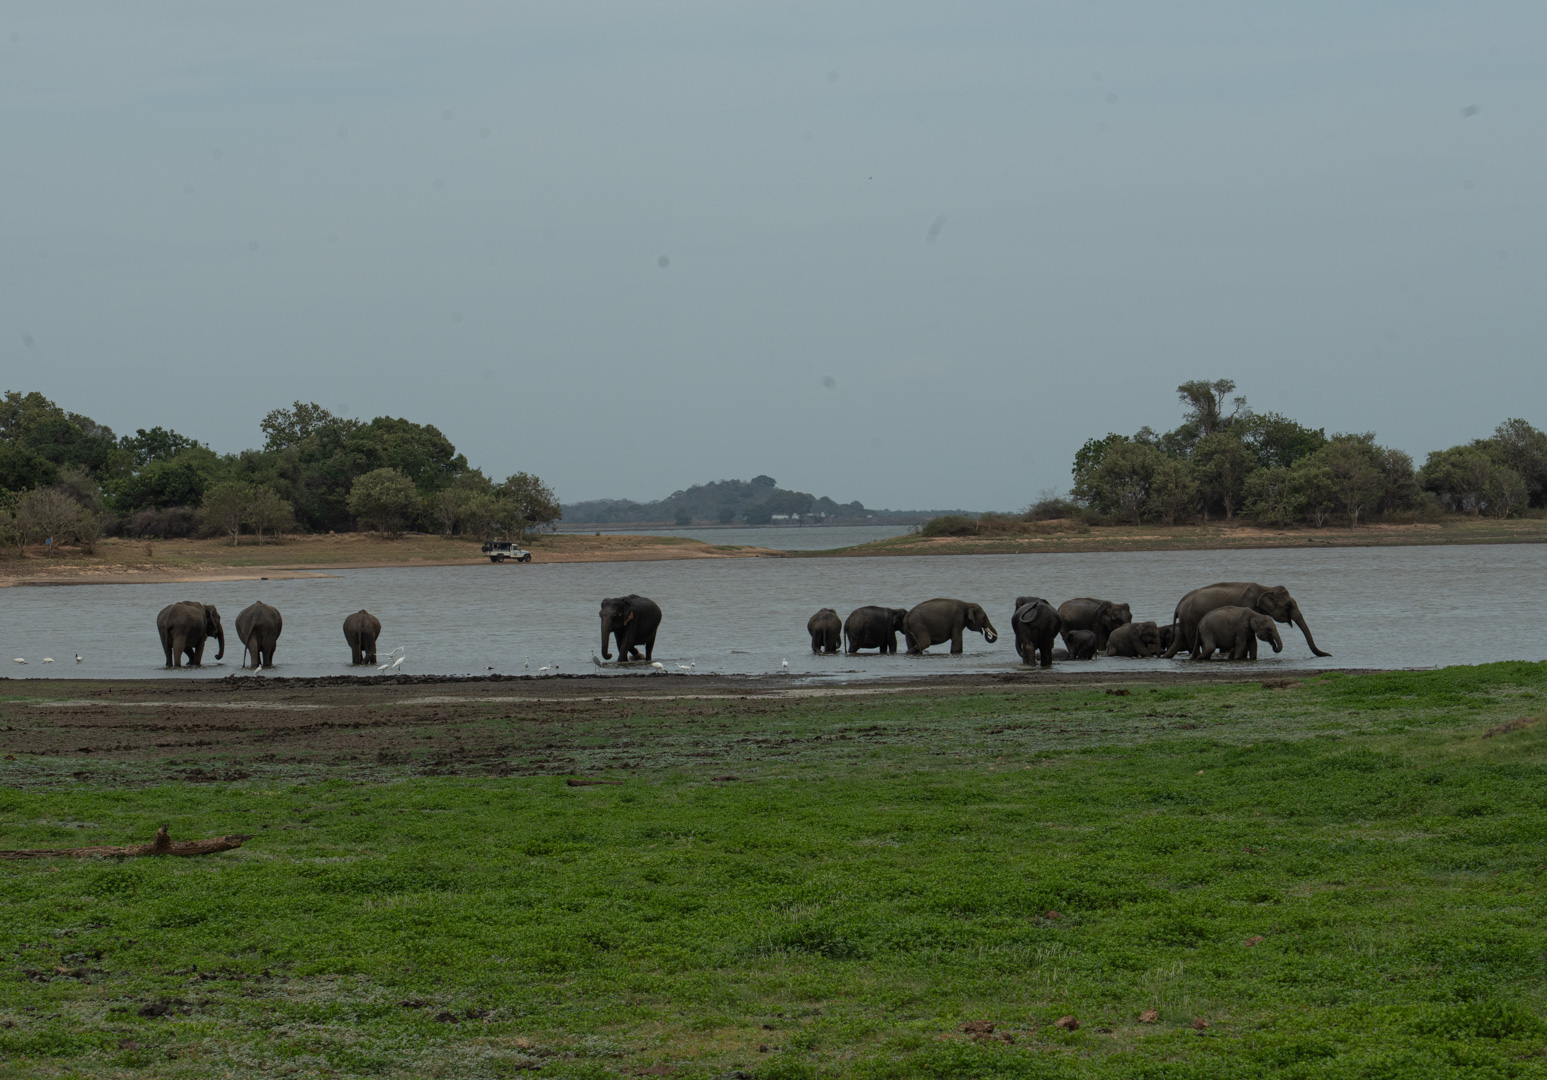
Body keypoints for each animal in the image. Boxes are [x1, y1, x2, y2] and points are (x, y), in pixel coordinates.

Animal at [1162, 582, 1329, 659]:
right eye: (1289, 605)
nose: (1329, 654)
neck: (1265, 588)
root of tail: (1179, 604)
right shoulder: (1246, 605)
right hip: (1191, 620)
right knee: (1193, 643)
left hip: (1185, 621)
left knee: (1179, 640)